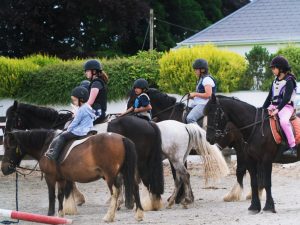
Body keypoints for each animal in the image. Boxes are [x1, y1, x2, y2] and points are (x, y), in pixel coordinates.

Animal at [1, 128, 144, 221]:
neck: (47, 144)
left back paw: (109, 216)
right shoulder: (62, 178)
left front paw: (50, 214)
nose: (4, 169)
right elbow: (60, 196)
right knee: (135, 187)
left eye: (8, 147)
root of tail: (122, 138)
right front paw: (60, 215)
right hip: (124, 173)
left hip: (110, 176)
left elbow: (52, 196)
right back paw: (139, 214)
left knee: (115, 192)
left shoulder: (50, 177)